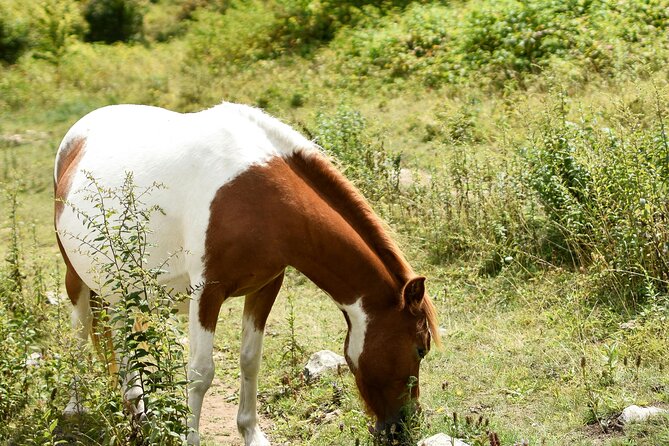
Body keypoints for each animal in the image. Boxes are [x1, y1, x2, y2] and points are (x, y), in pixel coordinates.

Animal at [54, 102, 440, 445]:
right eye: (420, 349)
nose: (405, 426)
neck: (261, 201)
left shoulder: (266, 286)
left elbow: (250, 361)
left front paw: (252, 434)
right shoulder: (207, 292)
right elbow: (200, 373)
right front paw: (189, 439)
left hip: (119, 286)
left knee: (122, 341)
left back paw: (137, 409)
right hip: (76, 276)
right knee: (80, 330)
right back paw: (75, 409)